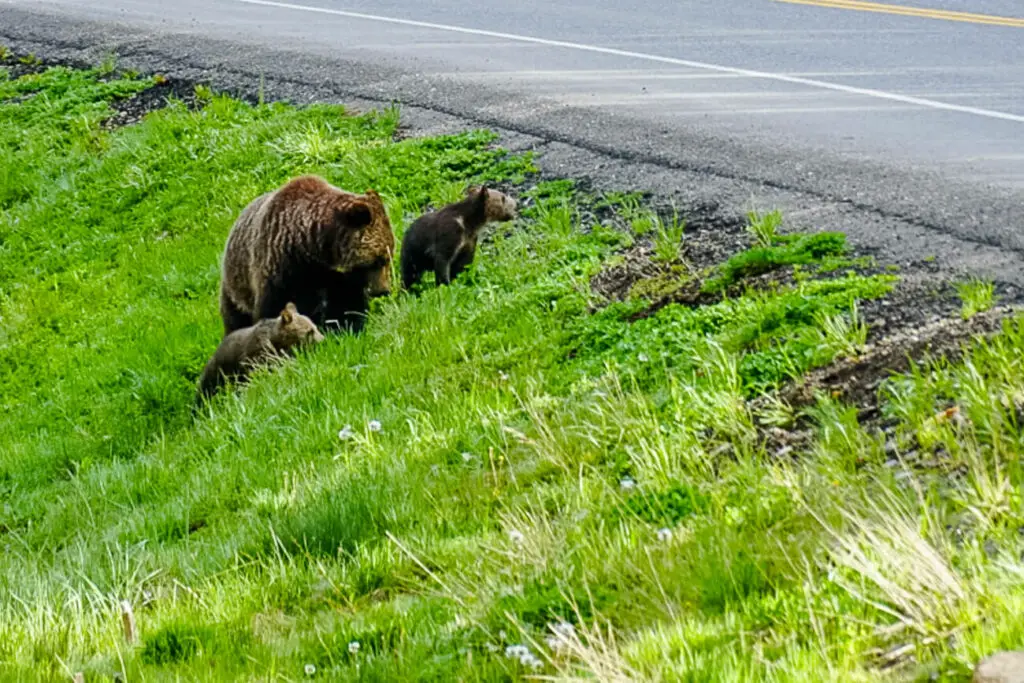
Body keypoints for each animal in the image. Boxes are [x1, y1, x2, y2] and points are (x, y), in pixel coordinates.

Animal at [195, 301, 323, 403]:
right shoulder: (255, 357)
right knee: (206, 391)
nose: (322, 339)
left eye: (315, 327)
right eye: (310, 331)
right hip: (217, 371)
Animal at [220, 175, 395, 335]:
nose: (383, 290)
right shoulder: (280, 267)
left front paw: (346, 328)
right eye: (380, 260)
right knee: (236, 317)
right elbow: (274, 306)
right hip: (236, 286)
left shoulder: (333, 276)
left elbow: (346, 303)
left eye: (389, 257)